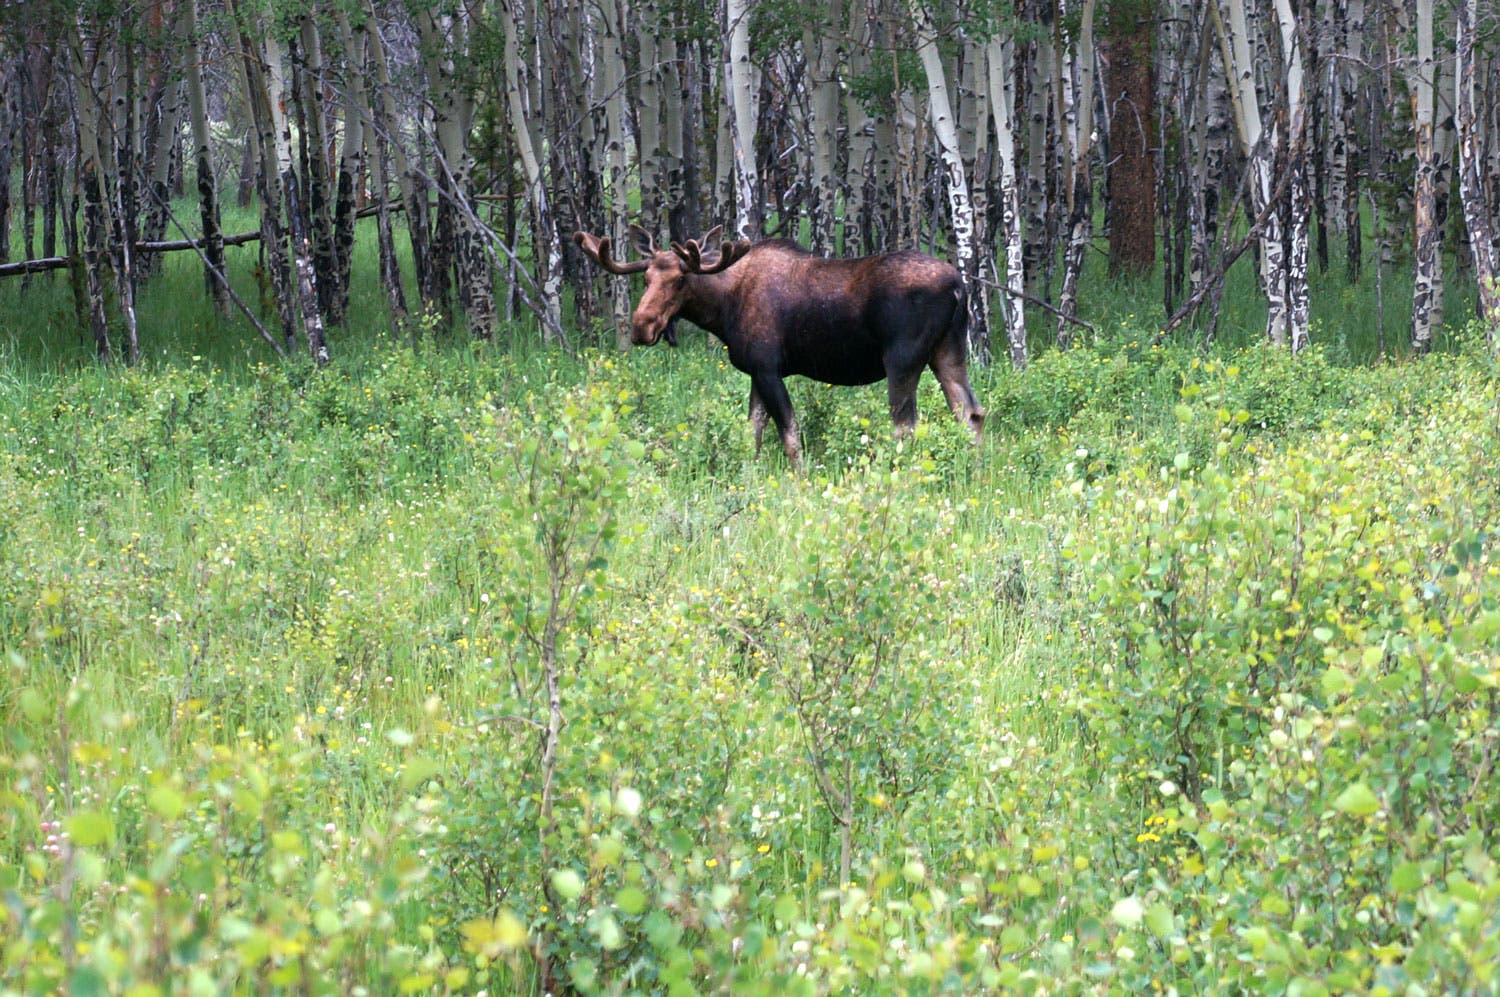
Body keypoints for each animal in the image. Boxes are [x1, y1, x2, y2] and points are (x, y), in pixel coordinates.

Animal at [574, 225, 985, 468]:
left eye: (680, 280)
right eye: (645, 277)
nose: (642, 327)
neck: (722, 309)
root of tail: (958, 286)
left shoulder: (768, 368)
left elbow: (789, 435)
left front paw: (798, 481)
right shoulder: (756, 373)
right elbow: (751, 435)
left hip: (902, 359)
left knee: (906, 426)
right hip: (948, 352)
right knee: (971, 413)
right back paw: (975, 472)